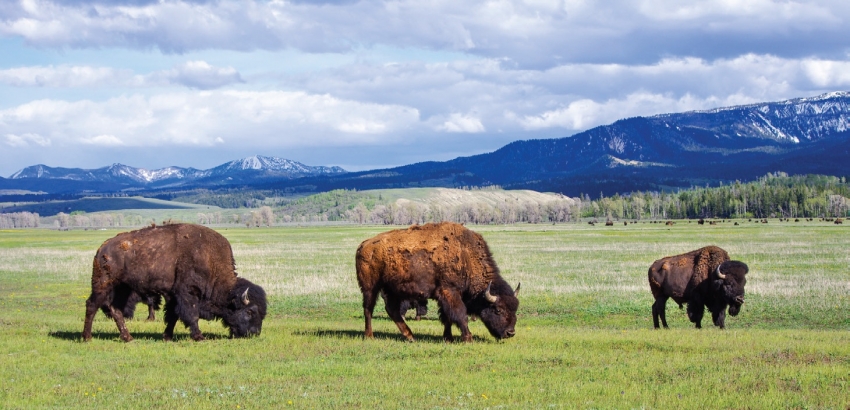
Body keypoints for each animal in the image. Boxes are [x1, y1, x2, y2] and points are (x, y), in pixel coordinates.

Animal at [83, 223, 266, 342]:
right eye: (250, 311)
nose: (254, 333)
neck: (210, 259)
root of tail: (102, 249)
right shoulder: (187, 293)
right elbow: (191, 315)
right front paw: (199, 337)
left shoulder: (172, 295)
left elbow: (172, 316)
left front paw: (167, 337)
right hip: (103, 284)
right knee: (92, 305)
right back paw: (87, 337)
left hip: (123, 288)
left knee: (116, 310)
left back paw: (128, 338)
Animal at [352, 223, 516, 342]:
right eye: (498, 310)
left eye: (515, 309)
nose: (510, 333)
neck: (466, 256)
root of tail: (364, 245)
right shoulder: (450, 292)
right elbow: (460, 315)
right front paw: (468, 338)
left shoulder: (444, 296)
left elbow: (447, 317)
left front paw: (448, 338)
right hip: (370, 287)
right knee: (368, 309)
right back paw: (369, 336)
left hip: (393, 289)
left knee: (392, 310)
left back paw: (410, 336)